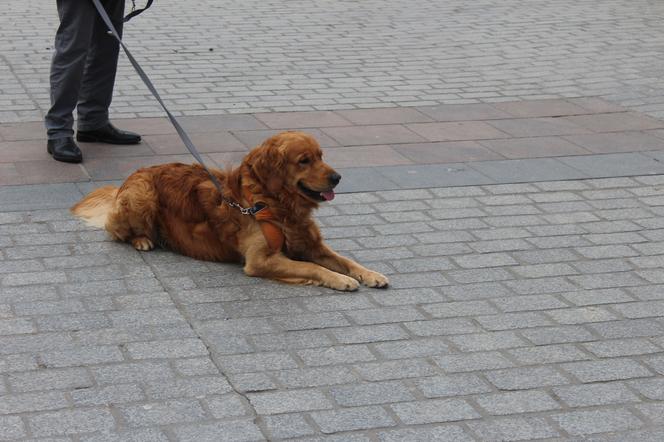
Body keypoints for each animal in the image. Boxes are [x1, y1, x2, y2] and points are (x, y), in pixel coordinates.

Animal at [71, 130, 390, 290]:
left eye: (321, 156)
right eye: (304, 160)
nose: (337, 177)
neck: (275, 204)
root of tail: (131, 176)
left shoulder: (312, 245)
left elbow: (345, 259)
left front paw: (369, 274)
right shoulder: (260, 260)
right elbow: (311, 267)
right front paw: (341, 280)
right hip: (142, 195)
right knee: (116, 232)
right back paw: (143, 239)